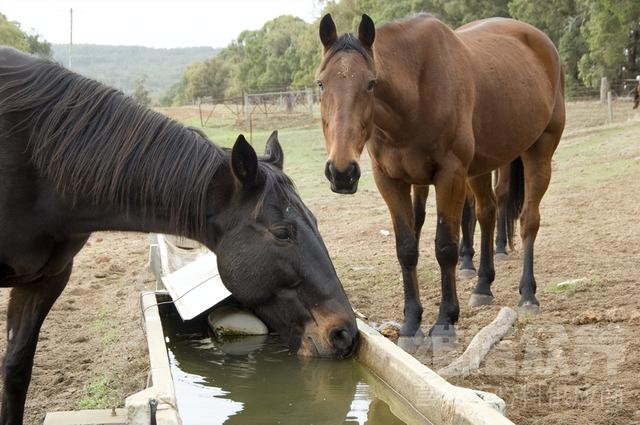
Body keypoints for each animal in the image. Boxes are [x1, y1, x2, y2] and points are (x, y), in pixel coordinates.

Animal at [318, 14, 564, 336]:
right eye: (321, 83)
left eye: (371, 83)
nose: (342, 172)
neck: (416, 97)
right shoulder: (391, 180)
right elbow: (406, 248)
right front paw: (411, 322)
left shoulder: (450, 176)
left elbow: (445, 246)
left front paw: (445, 320)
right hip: (481, 167)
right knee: (487, 213)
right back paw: (482, 285)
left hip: (539, 151)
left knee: (528, 221)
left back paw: (528, 295)